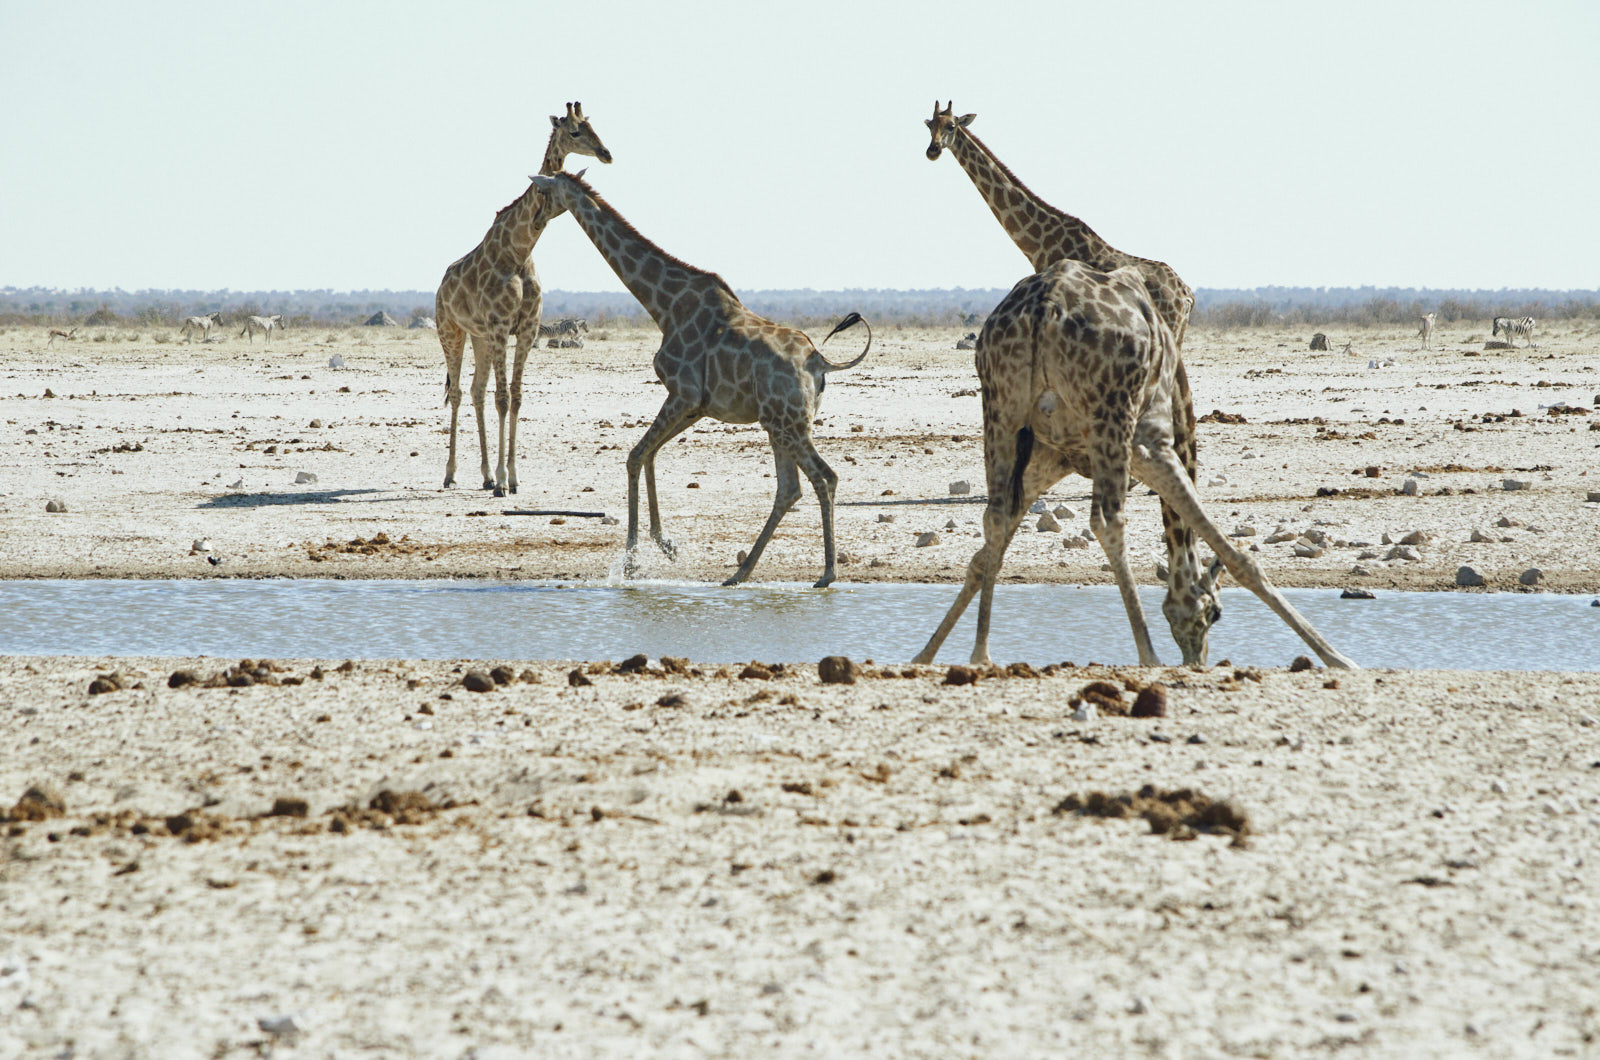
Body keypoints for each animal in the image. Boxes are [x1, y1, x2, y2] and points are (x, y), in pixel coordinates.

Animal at [435, 102, 612, 496]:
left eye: (594, 126)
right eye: (575, 131)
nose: (607, 154)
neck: (519, 251)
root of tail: (441, 284)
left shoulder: (526, 329)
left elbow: (515, 398)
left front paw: (512, 478)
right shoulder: (502, 327)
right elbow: (503, 399)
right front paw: (503, 480)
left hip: (480, 337)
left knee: (476, 391)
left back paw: (485, 475)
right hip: (451, 332)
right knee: (459, 392)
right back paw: (451, 474)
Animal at [528, 171, 872, 588]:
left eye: (543, 191)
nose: (534, 220)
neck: (664, 306)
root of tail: (820, 363)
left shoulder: (683, 394)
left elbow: (635, 456)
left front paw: (632, 560)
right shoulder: (697, 405)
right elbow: (648, 454)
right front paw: (664, 547)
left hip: (789, 423)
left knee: (825, 477)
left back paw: (826, 573)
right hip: (778, 423)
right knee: (790, 489)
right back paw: (741, 572)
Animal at [913, 260, 1356, 670]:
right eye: (1214, 614)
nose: (1195, 659)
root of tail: (1044, 307)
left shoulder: (1051, 457)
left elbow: (985, 553)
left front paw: (924, 653)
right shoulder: (1150, 442)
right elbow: (1238, 557)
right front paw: (1338, 658)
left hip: (1001, 413)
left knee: (996, 516)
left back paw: (981, 653)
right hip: (1112, 414)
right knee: (1107, 521)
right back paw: (1149, 656)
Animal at [923, 102, 1219, 661]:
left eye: (950, 128)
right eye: (928, 127)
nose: (931, 151)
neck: (1042, 241)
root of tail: (1188, 290)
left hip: (1166, 340)